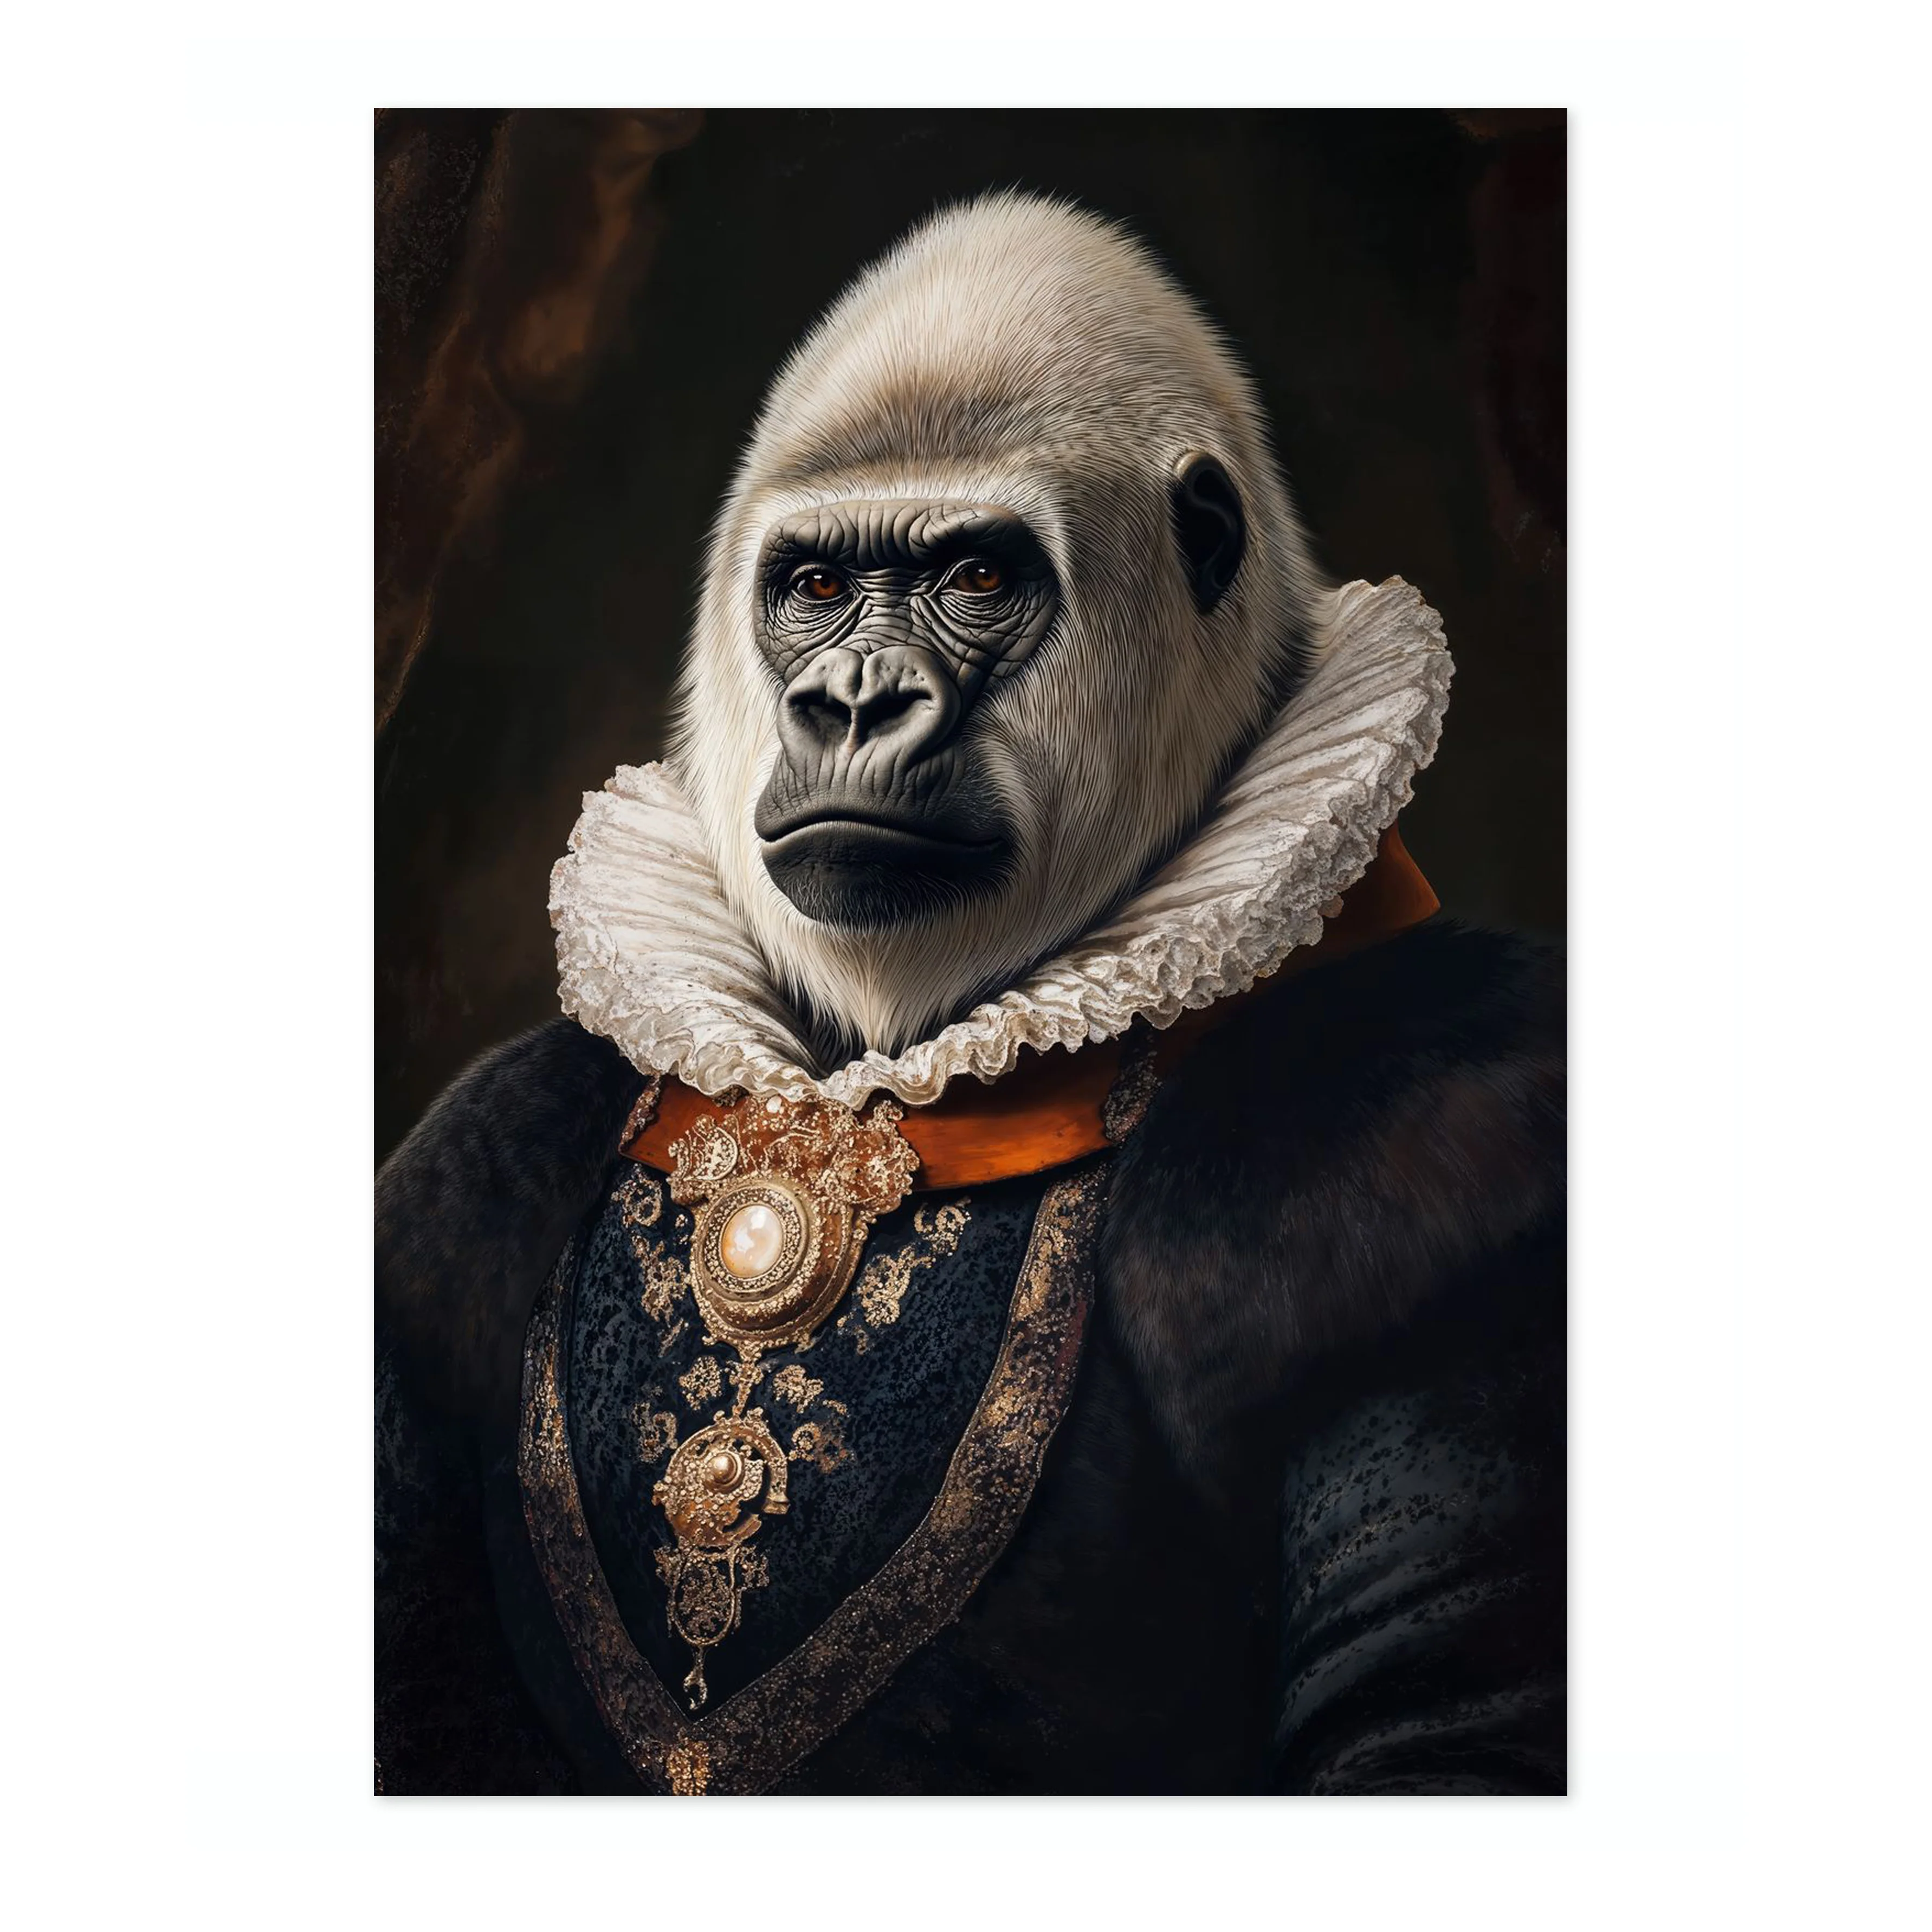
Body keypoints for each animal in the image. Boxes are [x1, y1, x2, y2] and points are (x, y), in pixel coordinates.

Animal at [377, 192, 1566, 1797]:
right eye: (816, 587)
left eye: (976, 579)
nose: (851, 702)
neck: (857, 1088)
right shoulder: (490, 1140)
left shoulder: (1441, 1123)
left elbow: (1440, 1718)